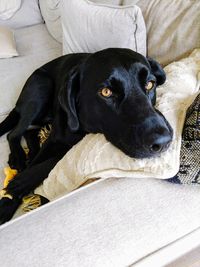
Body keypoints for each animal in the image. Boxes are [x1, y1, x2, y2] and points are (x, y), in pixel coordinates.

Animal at [0, 48, 172, 224]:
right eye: (106, 92)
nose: (163, 142)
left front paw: (21, 182)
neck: (83, 127)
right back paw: (19, 158)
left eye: (150, 84)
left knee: (28, 131)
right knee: (13, 133)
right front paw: (7, 202)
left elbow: (56, 158)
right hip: (41, 90)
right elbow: (38, 161)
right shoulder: (53, 140)